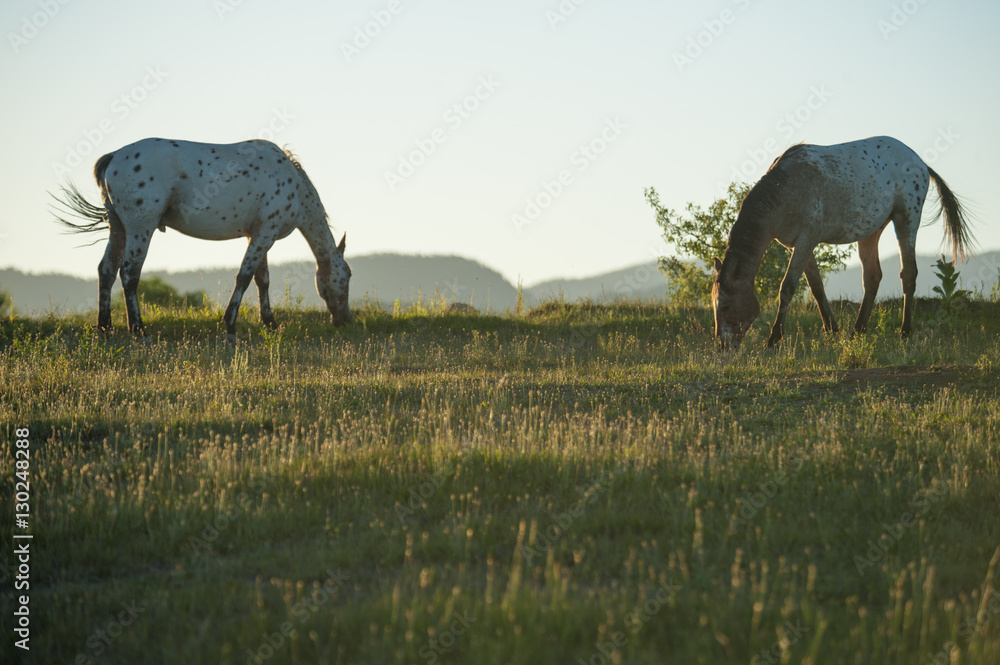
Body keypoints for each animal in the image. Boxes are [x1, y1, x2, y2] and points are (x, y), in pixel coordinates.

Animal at [54, 138, 352, 343]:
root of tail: (114, 156)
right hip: (140, 228)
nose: (344, 319)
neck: (294, 184)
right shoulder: (265, 235)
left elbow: (261, 280)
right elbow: (244, 277)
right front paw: (230, 326)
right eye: (347, 276)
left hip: (118, 228)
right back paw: (139, 331)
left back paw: (105, 327)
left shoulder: (258, 235)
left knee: (106, 270)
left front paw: (270, 323)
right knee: (129, 274)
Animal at [711, 136, 973, 350]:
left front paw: (774, 338)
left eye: (724, 306)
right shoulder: (799, 245)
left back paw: (905, 332)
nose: (722, 346)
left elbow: (787, 287)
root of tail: (920, 162)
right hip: (871, 231)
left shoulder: (806, 240)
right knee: (872, 277)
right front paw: (832, 330)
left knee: (908, 273)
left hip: (906, 219)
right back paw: (858, 331)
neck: (784, 188)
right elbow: (816, 287)